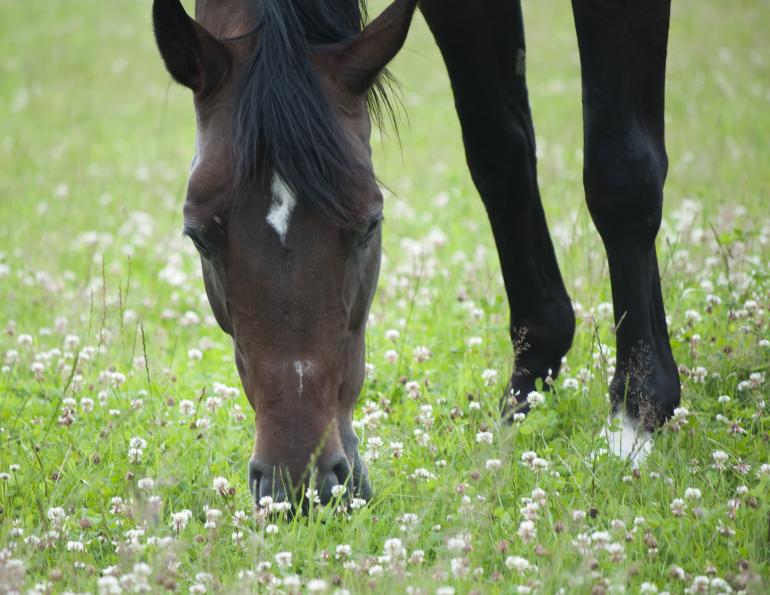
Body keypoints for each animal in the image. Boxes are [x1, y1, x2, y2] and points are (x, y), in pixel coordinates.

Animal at [152, 0, 679, 506]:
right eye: (197, 236)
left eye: (369, 225)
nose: (300, 488)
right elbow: (500, 156)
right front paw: (528, 385)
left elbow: (621, 172)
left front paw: (636, 416)